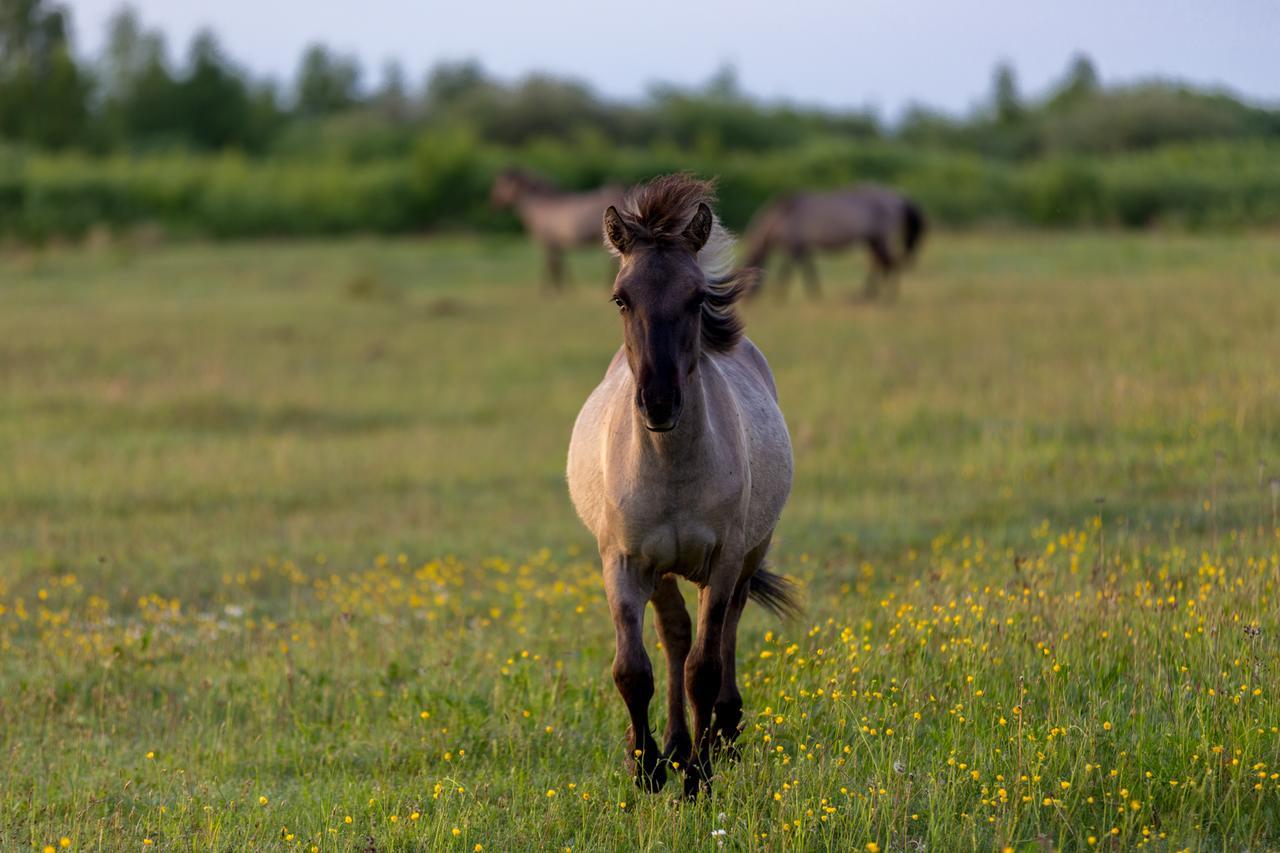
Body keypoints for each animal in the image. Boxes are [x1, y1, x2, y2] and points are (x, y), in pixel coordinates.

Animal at [488, 169, 624, 289]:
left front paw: (551, 291)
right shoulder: (556, 245)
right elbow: (559, 267)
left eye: (501, 184)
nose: (494, 203)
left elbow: (551, 266)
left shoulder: (549, 243)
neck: (543, 206)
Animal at [568, 174, 793, 799]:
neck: (671, 469)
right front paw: (644, 767)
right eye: (621, 298)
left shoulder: (723, 561)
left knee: (724, 632)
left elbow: (704, 668)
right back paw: (670, 745)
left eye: (696, 299)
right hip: (662, 570)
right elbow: (633, 669)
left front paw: (697, 778)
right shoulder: (623, 562)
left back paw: (721, 738)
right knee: (672, 636)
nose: (659, 403)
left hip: (747, 556)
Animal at [742, 183, 931, 298]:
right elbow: (809, 272)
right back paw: (868, 295)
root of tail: (897, 197)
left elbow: (786, 273)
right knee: (880, 265)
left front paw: (780, 296)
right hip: (872, 242)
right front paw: (816, 294)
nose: (748, 301)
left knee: (890, 264)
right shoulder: (804, 249)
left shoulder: (794, 248)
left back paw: (887, 297)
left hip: (880, 240)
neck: (783, 215)